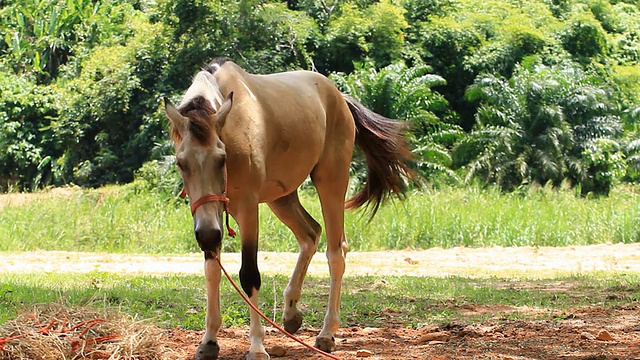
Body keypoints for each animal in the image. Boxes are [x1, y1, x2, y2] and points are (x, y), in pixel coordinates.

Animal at [165, 57, 416, 358]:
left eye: (221, 158)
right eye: (181, 163)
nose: (207, 235)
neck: (232, 127)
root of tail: (338, 96)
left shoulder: (247, 210)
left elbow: (249, 275)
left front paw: (257, 345)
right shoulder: (209, 217)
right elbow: (212, 272)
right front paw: (209, 341)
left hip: (331, 182)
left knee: (336, 253)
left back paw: (327, 333)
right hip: (282, 198)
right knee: (310, 234)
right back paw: (291, 312)